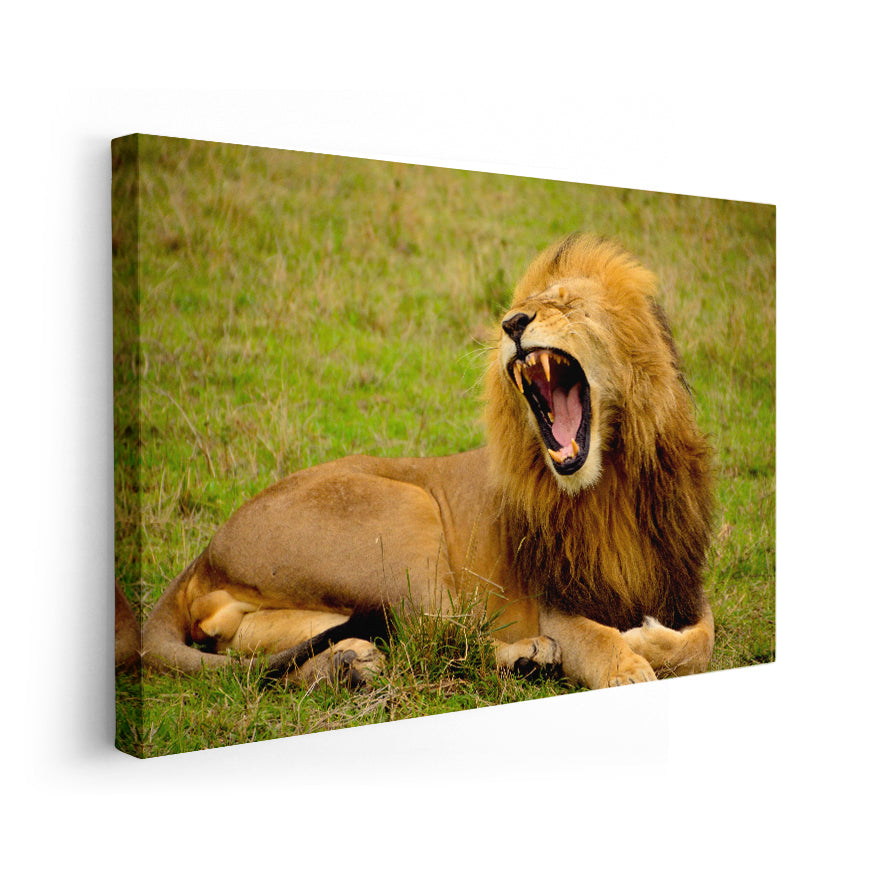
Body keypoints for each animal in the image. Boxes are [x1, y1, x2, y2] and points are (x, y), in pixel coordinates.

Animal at [142, 234, 714, 690]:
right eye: (520, 306)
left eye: (568, 303)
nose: (511, 323)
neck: (610, 482)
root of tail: (207, 550)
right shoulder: (556, 603)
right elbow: (598, 639)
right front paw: (630, 662)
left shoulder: (683, 582)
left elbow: (702, 640)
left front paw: (646, 638)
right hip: (406, 509)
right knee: (438, 635)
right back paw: (524, 656)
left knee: (251, 641)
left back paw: (349, 662)